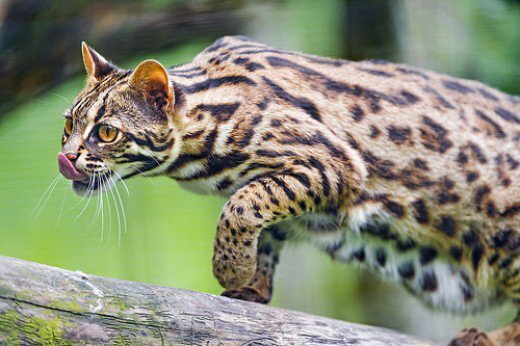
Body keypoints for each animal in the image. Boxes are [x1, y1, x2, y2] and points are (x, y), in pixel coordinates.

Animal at [59, 36, 516, 344]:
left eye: (106, 132)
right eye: (68, 124)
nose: (65, 157)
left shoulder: (335, 164)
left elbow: (243, 203)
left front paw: (231, 268)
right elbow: (264, 217)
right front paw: (252, 282)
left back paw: (487, 336)